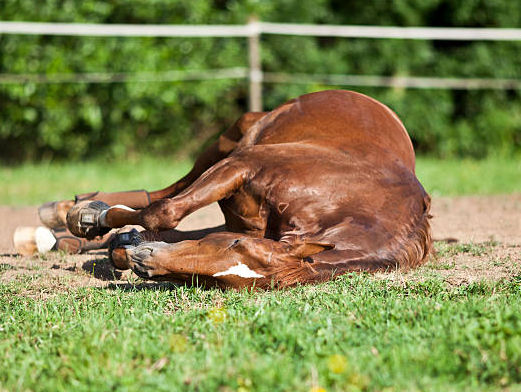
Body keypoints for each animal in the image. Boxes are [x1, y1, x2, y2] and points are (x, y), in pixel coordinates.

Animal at [15, 90, 430, 290]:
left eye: (217, 283)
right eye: (236, 247)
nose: (146, 263)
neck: (350, 200)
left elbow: (158, 229)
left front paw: (124, 245)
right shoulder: (243, 166)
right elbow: (165, 211)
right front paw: (95, 219)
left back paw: (65, 235)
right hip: (229, 142)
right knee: (167, 192)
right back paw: (73, 213)